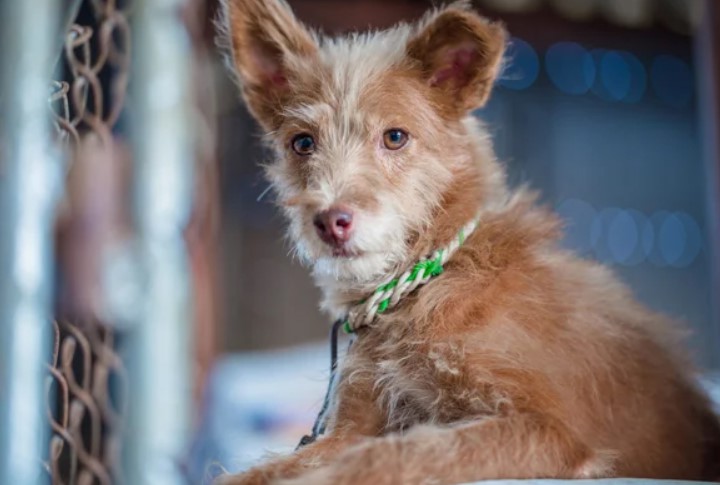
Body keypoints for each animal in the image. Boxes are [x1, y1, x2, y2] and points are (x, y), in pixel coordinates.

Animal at [218, 1, 720, 482]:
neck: (424, 282)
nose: (329, 221)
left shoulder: (548, 428)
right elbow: (264, 470)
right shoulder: (350, 425)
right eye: (302, 143)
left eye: (395, 137)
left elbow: (406, 452)